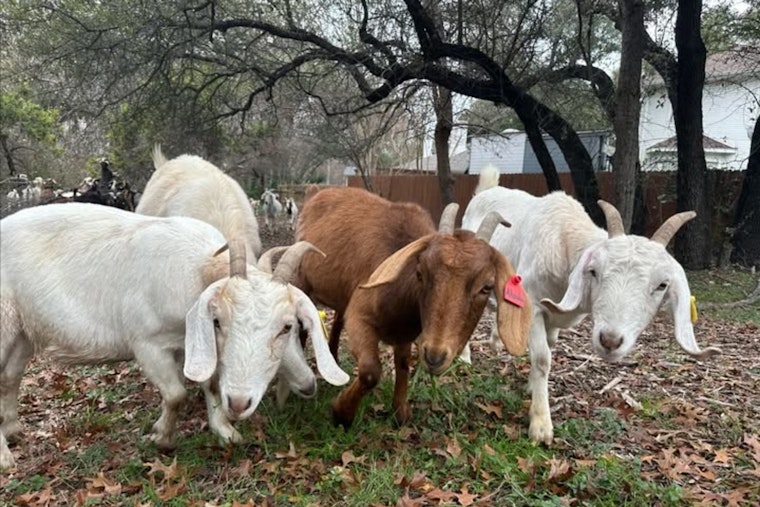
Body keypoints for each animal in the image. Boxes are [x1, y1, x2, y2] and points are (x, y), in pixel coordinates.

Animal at [0, 203, 348, 468]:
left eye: (288, 326)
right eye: (218, 321)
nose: (239, 403)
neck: (197, 270)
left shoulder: (191, 346)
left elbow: (209, 383)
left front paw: (224, 431)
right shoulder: (147, 344)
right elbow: (176, 394)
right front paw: (163, 438)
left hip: (22, 333)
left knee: (10, 377)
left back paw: (14, 431)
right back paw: (5, 459)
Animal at [295, 187, 532, 428]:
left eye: (487, 287)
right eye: (420, 273)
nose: (435, 356)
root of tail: (316, 191)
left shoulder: (405, 334)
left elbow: (403, 364)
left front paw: (400, 411)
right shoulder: (360, 317)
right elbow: (371, 371)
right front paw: (342, 413)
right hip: (301, 277)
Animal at [460, 165, 722, 444]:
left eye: (662, 285)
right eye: (594, 271)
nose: (610, 341)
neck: (564, 239)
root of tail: (487, 189)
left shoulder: (554, 314)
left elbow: (548, 346)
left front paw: (531, 386)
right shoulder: (534, 304)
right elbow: (542, 359)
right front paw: (541, 425)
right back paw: (464, 357)